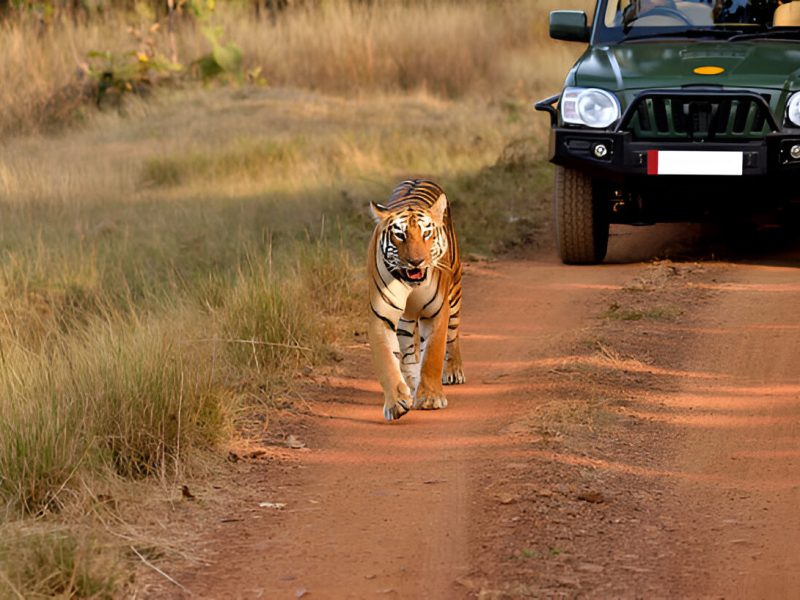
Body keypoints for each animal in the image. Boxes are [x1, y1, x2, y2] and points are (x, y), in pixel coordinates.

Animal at [367, 179, 465, 421]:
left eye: (426, 233)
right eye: (400, 235)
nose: (416, 261)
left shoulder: (437, 312)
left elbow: (432, 355)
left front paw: (430, 398)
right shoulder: (381, 317)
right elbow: (387, 361)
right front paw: (396, 402)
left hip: (455, 293)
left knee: (453, 336)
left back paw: (453, 371)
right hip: (406, 320)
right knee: (409, 352)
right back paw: (411, 386)